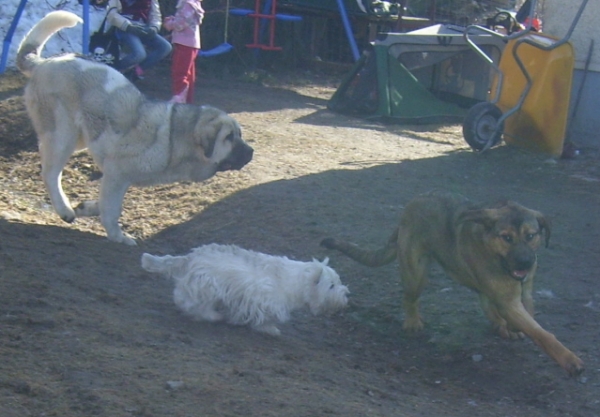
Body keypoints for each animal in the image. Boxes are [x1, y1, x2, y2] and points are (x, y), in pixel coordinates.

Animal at [141, 244, 350, 334]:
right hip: (206, 287)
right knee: (192, 303)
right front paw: (269, 328)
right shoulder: (263, 300)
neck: (297, 282)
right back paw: (213, 316)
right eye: (331, 285)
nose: (346, 296)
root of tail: (190, 258)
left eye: (338, 281)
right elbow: (264, 317)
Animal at [322, 193, 584, 376]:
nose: (526, 262)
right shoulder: (508, 298)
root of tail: (410, 206)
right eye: (507, 237)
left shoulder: (523, 291)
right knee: (409, 298)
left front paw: (511, 326)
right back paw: (412, 322)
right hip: (416, 273)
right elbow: (542, 334)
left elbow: (526, 315)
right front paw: (569, 360)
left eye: (531, 236)